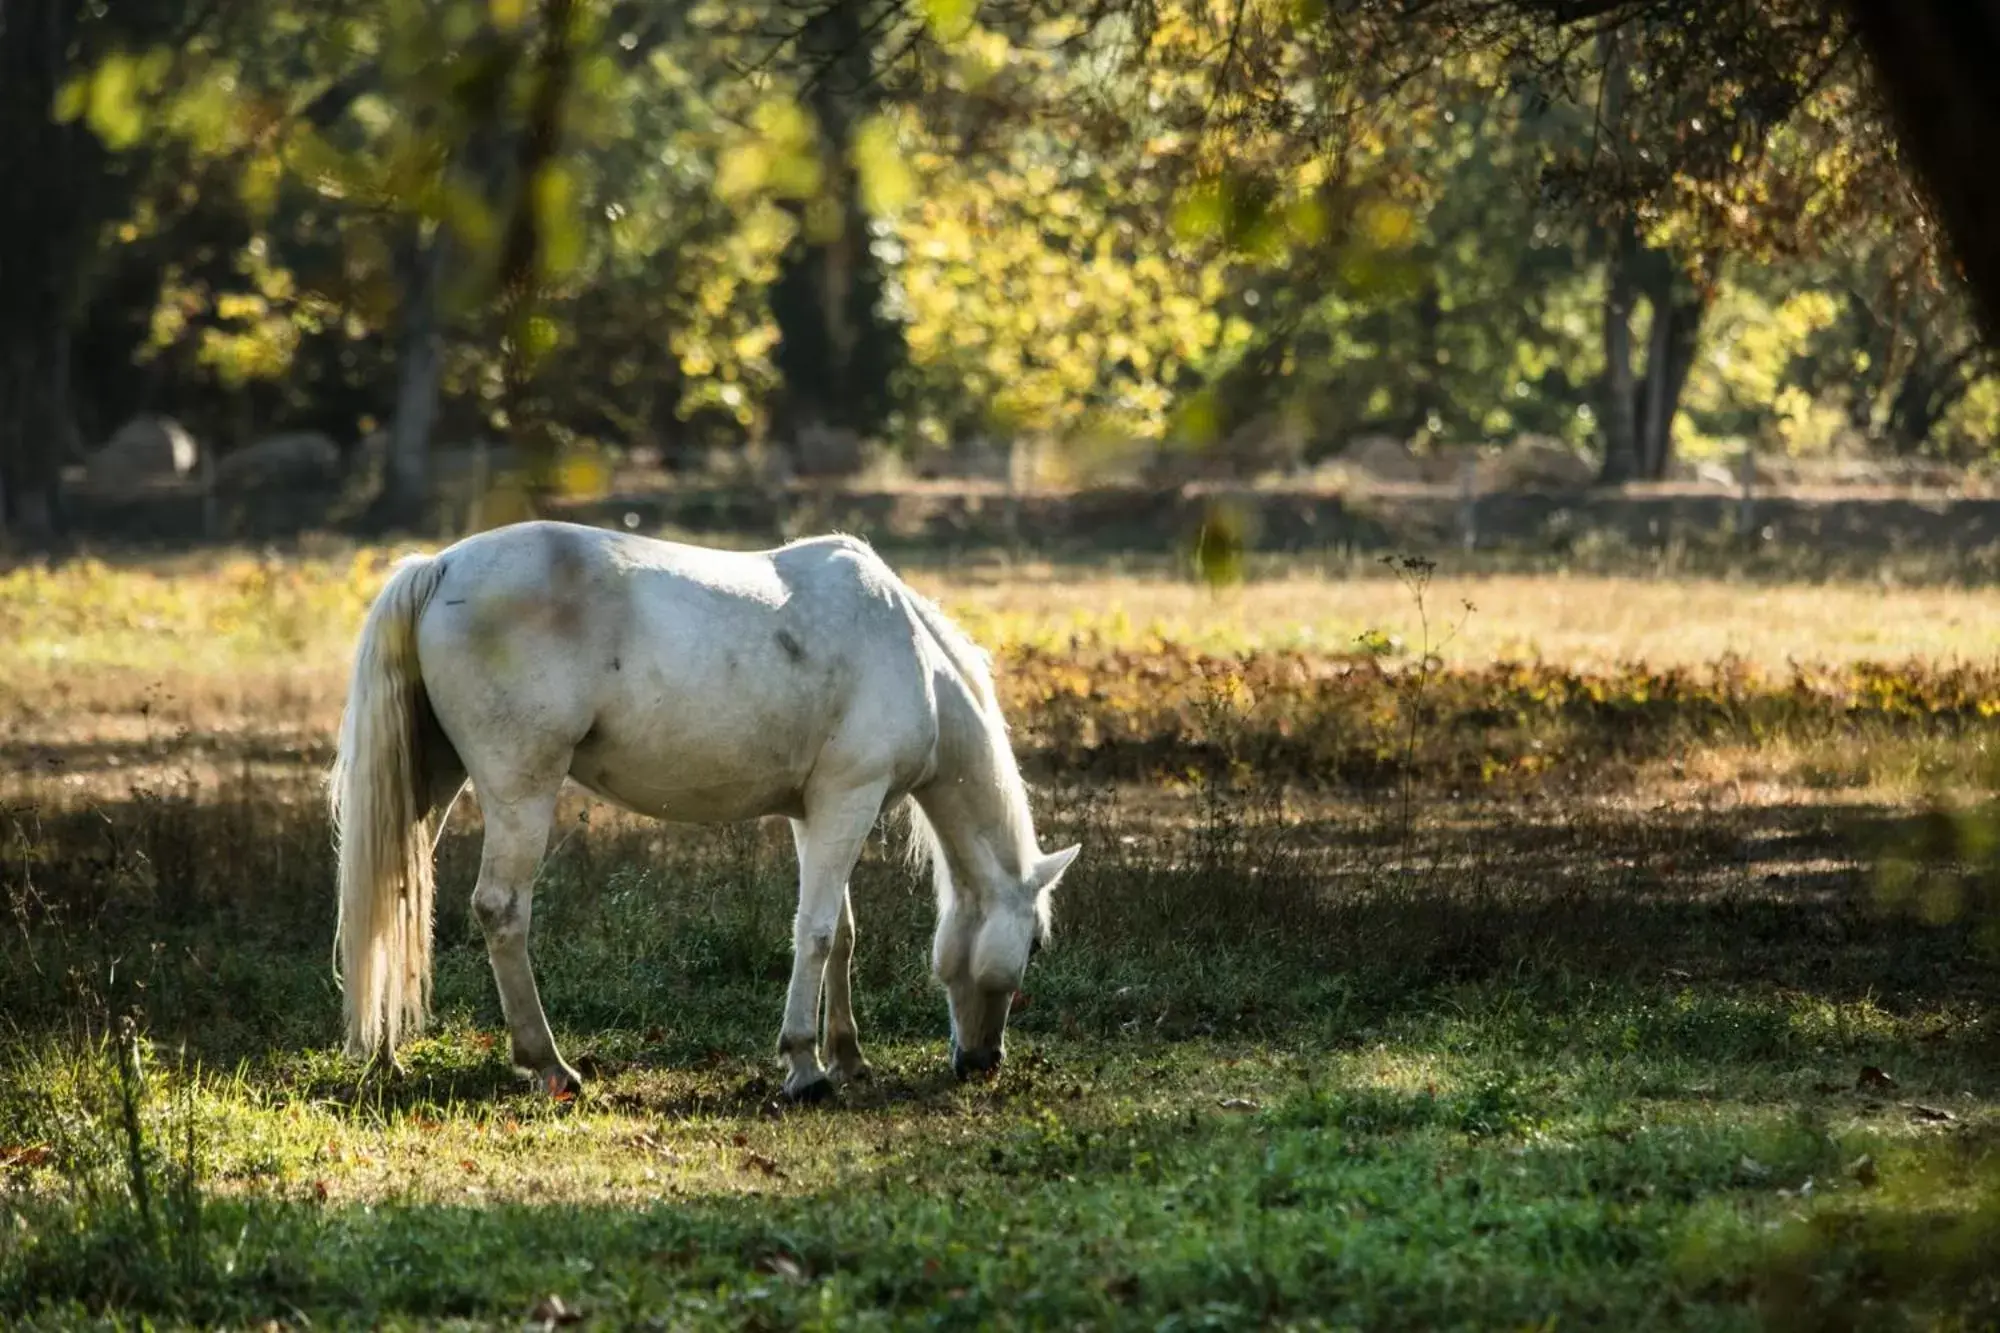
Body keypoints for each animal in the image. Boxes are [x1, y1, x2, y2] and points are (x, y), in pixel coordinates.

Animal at [328, 520, 1080, 1096]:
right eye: (1035, 944)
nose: (983, 1062)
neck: (911, 655)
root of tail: (441, 565)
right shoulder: (849, 800)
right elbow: (817, 932)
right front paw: (805, 1067)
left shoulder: (816, 813)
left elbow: (841, 931)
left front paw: (847, 1056)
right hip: (522, 791)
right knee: (501, 910)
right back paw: (550, 1066)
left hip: (432, 784)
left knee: (391, 892)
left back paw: (387, 1052)